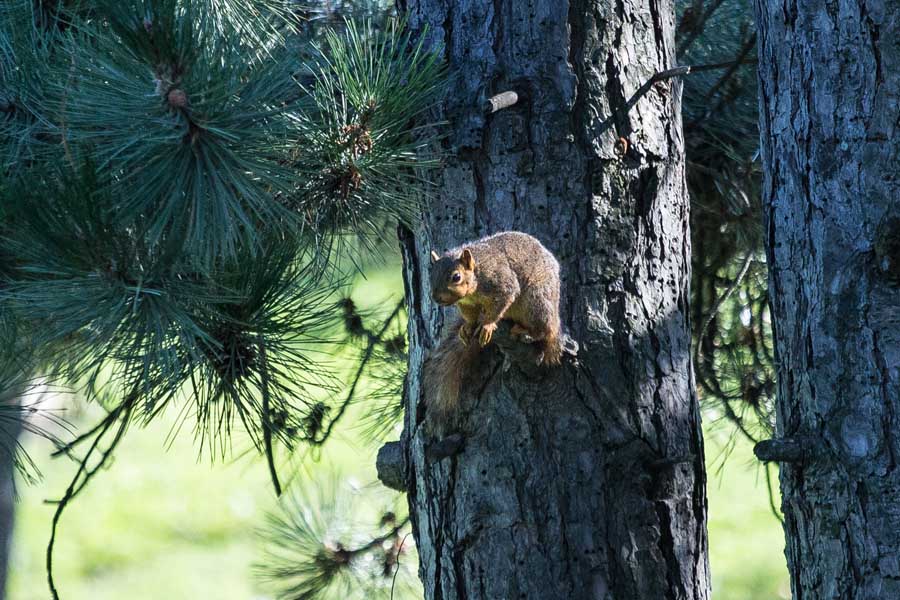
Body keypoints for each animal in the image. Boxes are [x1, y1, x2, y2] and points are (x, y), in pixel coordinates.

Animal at [424, 231, 564, 432]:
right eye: (431, 276)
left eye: (456, 277)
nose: (436, 298)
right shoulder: (467, 305)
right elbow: (471, 318)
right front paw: (468, 328)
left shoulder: (502, 284)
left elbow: (501, 302)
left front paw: (488, 326)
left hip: (536, 302)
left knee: (544, 330)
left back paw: (527, 332)